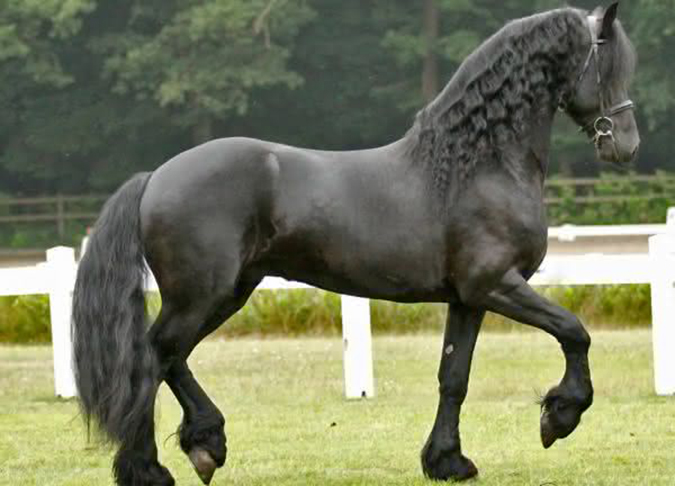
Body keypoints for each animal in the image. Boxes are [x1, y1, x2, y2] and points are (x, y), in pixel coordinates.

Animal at [72, 3, 639, 485]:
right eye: (608, 65)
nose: (627, 145)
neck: (474, 166)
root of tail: (156, 176)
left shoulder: (469, 299)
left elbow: (453, 376)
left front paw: (447, 461)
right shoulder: (498, 285)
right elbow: (574, 331)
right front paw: (560, 416)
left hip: (229, 292)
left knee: (171, 358)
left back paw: (204, 444)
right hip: (200, 295)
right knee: (154, 357)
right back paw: (153, 467)